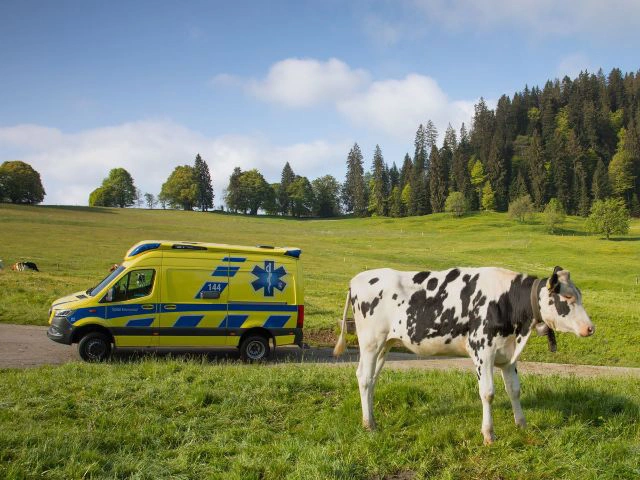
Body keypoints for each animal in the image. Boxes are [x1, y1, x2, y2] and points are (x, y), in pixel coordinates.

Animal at [334, 266, 594, 444]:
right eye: (567, 298)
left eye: (580, 295)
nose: (590, 328)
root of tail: (358, 279)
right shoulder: (482, 351)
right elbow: (488, 393)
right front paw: (489, 434)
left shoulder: (507, 355)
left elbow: (514, 390)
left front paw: (522, 425)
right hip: (370, 342)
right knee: (363, 378)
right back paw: (369, 425)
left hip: (384, 345)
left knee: (372, 379)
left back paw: (372, 419)